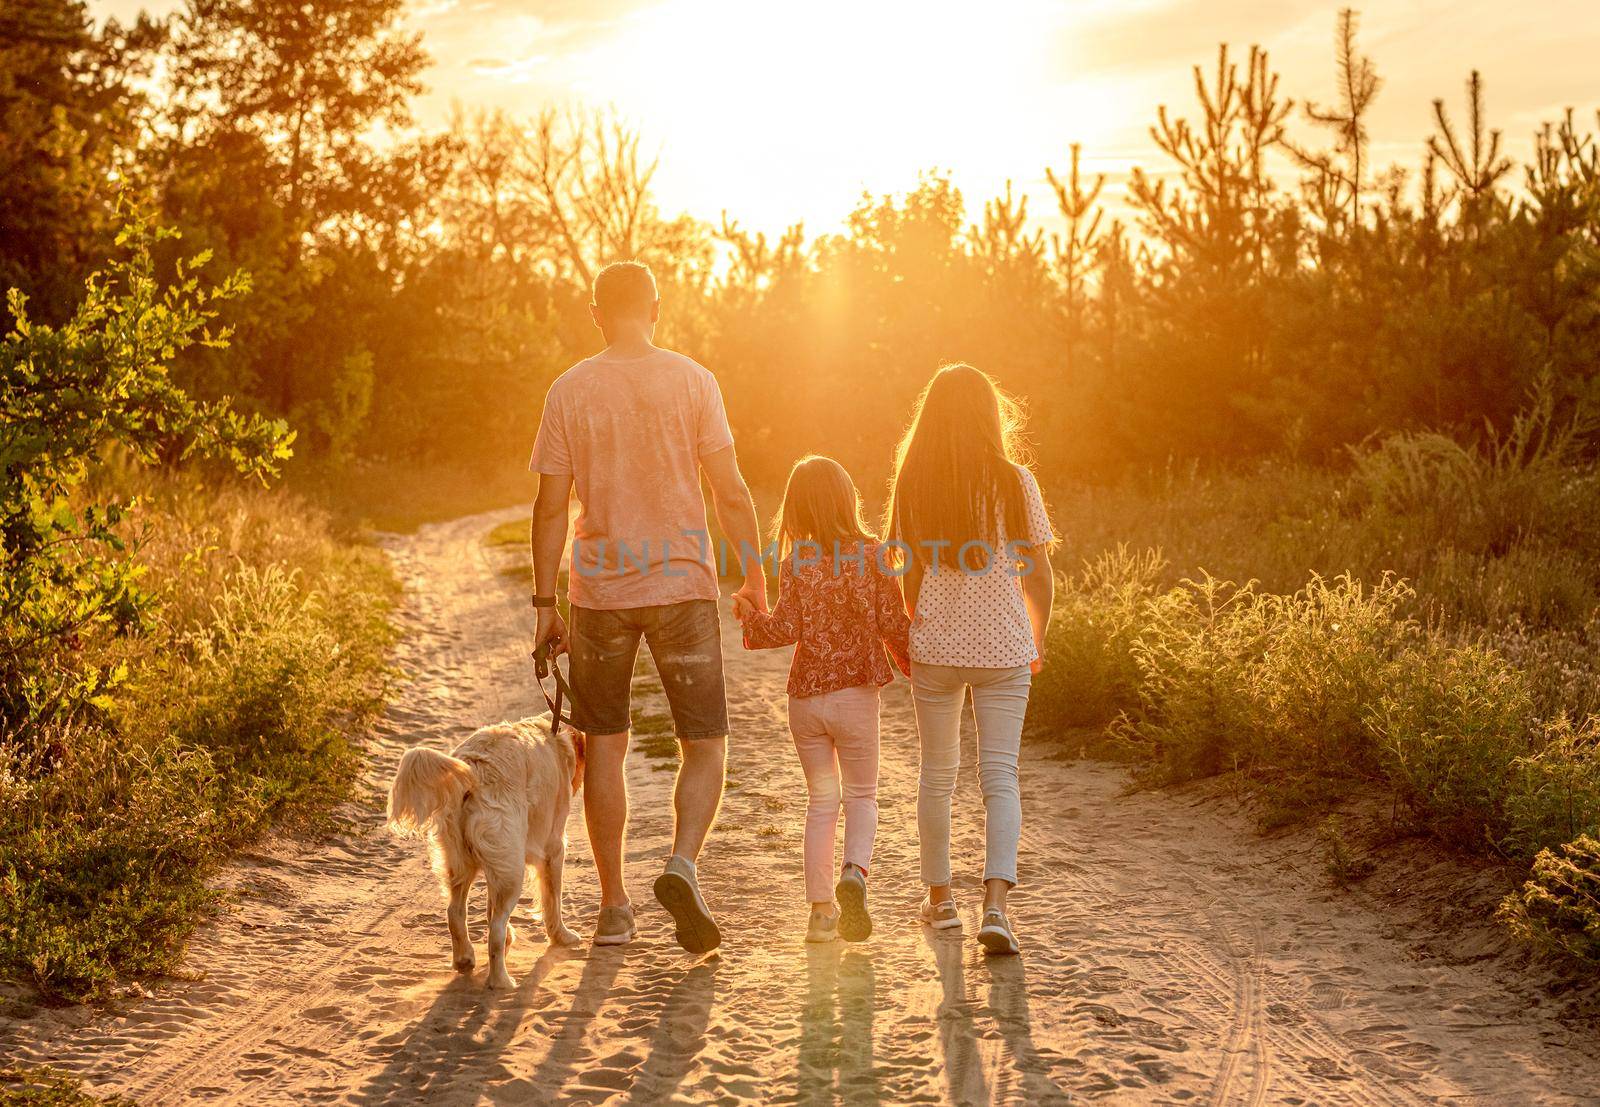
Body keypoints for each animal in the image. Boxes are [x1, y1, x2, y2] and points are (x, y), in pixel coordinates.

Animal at [387, 716, 588, 991]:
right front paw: (562, 936)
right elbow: (552, 899)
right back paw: (500, 981)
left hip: (465, 862)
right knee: (495, 930)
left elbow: (490, 907)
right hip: (511, 867)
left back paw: (464, 959)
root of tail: (474, 769)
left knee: (456, 912)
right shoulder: (554, 847)